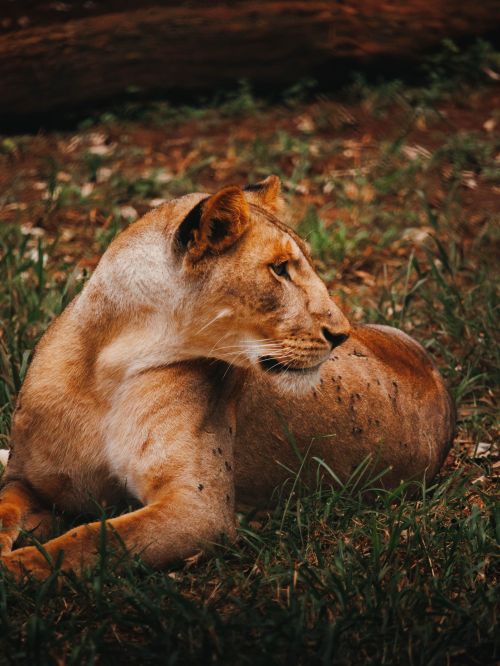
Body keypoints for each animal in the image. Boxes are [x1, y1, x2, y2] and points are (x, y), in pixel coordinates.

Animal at [0, 176, 454, 578]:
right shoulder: (30, 480)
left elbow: (89, 540)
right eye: (279, 269)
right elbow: (7, 508)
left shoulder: (199, 509)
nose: (340, 334)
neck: (107, 367)